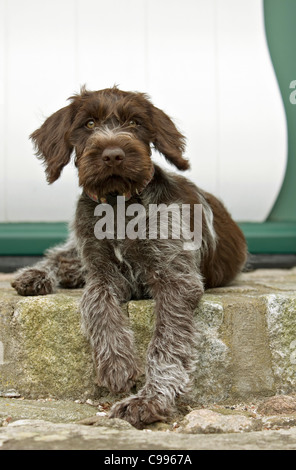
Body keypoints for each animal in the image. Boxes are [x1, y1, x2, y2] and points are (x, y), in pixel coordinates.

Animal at [11, 87, 246, 430]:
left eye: (135, 123)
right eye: (89, 123)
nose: (113, 154)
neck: (118, 205)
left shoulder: (175, 278)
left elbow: (166, 343)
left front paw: (149, 400)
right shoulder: (101, 272)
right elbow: (96, 304)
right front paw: (117, 364)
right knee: (63, 256)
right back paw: (35, 276)